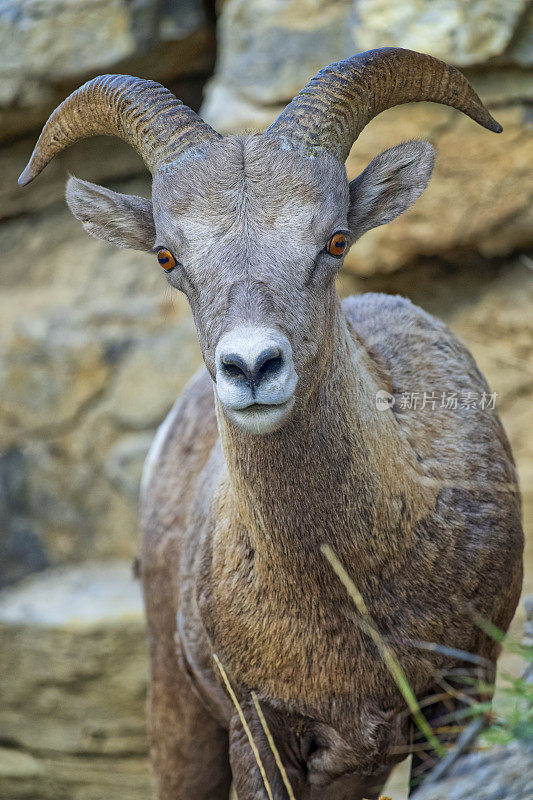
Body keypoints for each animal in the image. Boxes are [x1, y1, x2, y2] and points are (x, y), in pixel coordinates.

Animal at [19, 50, 520, 800]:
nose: (251, 366)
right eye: (168, 256)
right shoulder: (259, 728)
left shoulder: (458, 701)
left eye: (334, 240)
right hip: (179, 716)